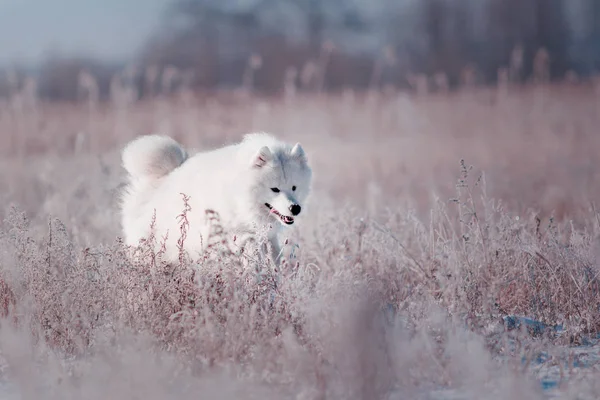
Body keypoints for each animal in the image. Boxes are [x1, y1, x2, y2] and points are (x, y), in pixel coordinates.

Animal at [119, 133, 312, 264]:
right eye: (275, 189)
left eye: (294, 187)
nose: (295, 208)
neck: (238, 198)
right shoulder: (235, 236)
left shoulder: (267, 237)